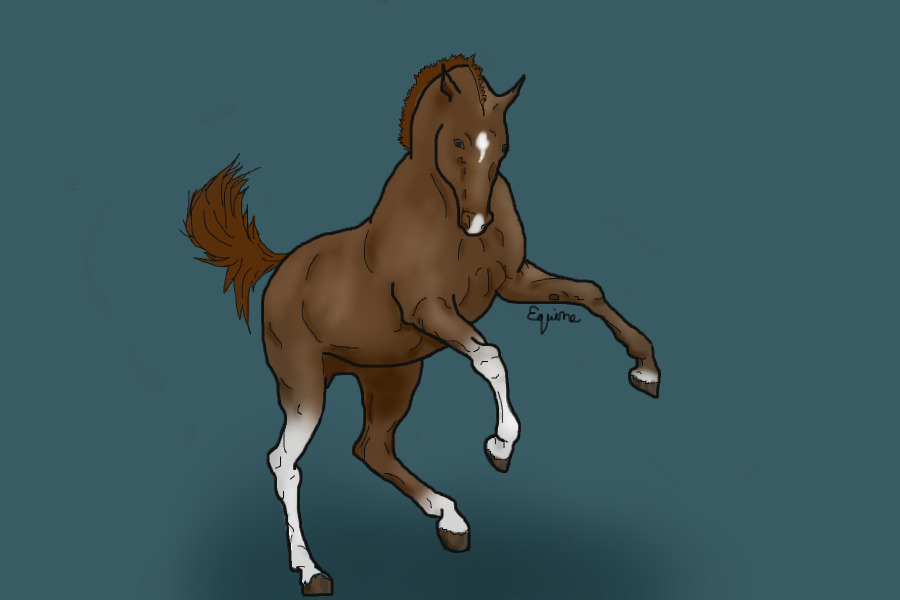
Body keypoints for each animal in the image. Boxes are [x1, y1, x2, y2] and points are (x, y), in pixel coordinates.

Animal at [184, 54, 660, 596]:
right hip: (304, 385)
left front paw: (646, 369)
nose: (477, 220)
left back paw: (451, 522)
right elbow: (489, 356)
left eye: (502, 143)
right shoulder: (431, 309)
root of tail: (280, 265)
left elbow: (587, 292)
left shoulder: (515, 281)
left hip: (392, 376)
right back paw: (312, 571)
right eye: (457, 141)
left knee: (372, 447)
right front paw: (500, 445)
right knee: (285, 463)